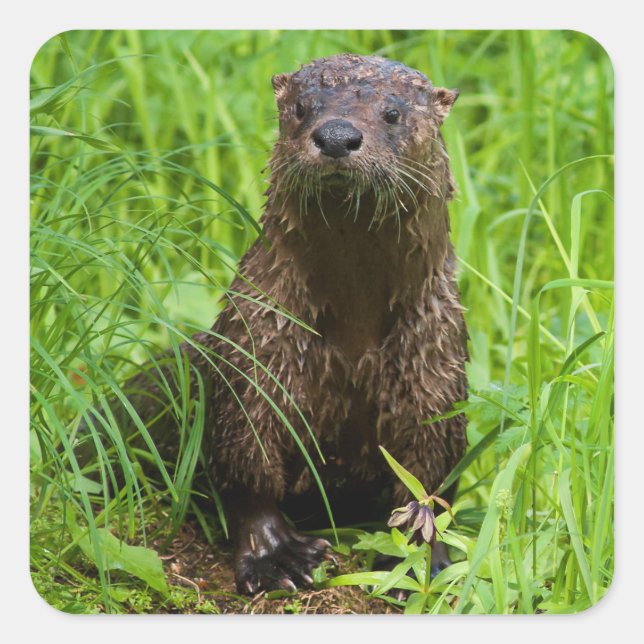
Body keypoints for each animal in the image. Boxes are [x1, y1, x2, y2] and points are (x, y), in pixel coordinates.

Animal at [84, 54, 468, 595]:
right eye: (302, 108)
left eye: (392, 114)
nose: (336, 135)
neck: (353, 338)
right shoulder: (256, 354)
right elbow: (247, 468)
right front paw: (275, 555)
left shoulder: (435, 370)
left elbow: (427, 481)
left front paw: (419, 562)